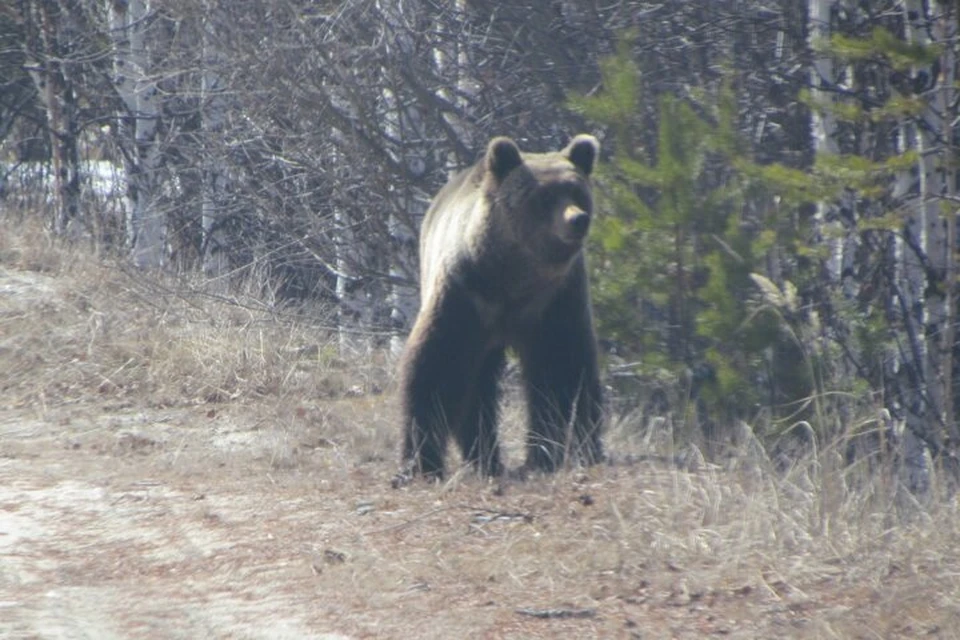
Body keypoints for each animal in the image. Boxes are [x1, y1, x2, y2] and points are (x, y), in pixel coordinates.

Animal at [394, 135, 604, 482]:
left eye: (577, 192)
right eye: (545, 196)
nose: (577, 219)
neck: (512, 279)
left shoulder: (554, 301)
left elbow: (561, 370)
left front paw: (551, 451)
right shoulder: (465, 294)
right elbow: (435, 366)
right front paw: (422, 463)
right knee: (475, 386)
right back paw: (484, 457)